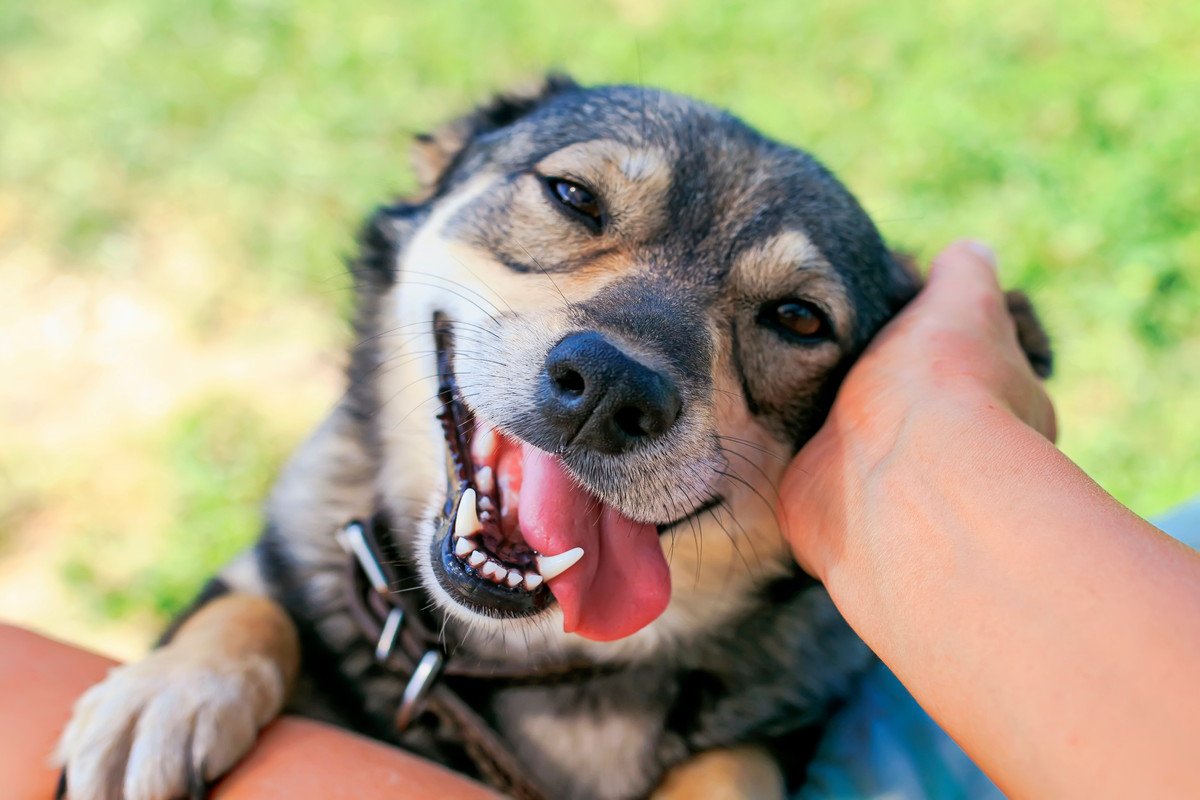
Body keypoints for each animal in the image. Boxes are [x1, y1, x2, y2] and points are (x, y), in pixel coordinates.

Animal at [56, 76, 1051, 800]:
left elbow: (732, 763)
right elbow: (248, 605)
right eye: (572, 195)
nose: (611, 390)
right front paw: (170, 692)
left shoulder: (783, 726)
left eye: (800, 320)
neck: (516, 662)